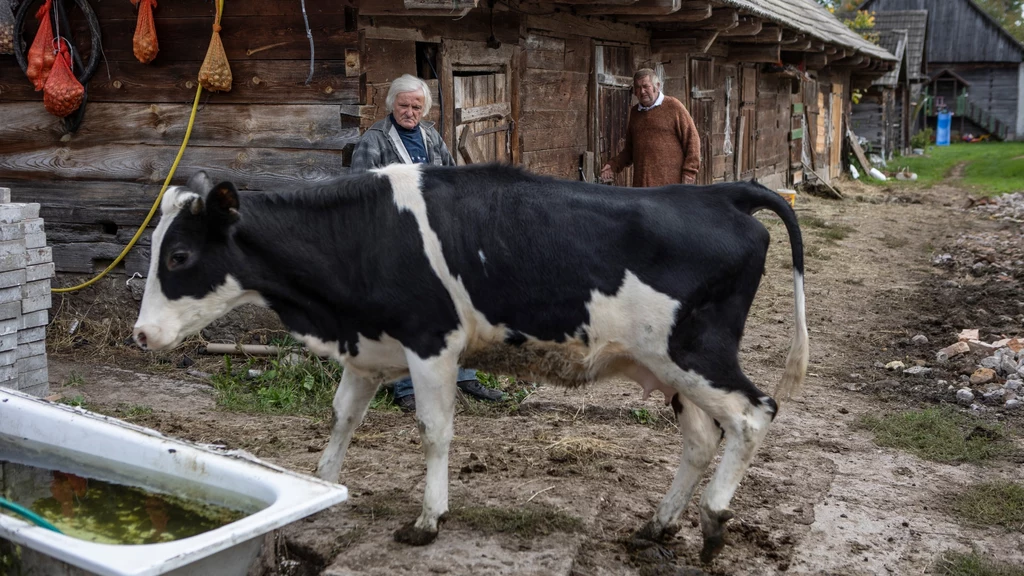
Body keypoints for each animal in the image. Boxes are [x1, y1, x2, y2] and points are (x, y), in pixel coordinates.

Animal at [134, 162, 806, 561]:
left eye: (180, 256)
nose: (142, 334)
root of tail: (720, 192)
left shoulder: (433, 341)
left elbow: (434, 431)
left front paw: (428, 519)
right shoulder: (368, 348)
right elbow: (342, 417)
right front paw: (318, 490)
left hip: (695, 352)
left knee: (754, 414)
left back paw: (713, 523)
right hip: (667, 367)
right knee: (701, 436)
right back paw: (657, 527)